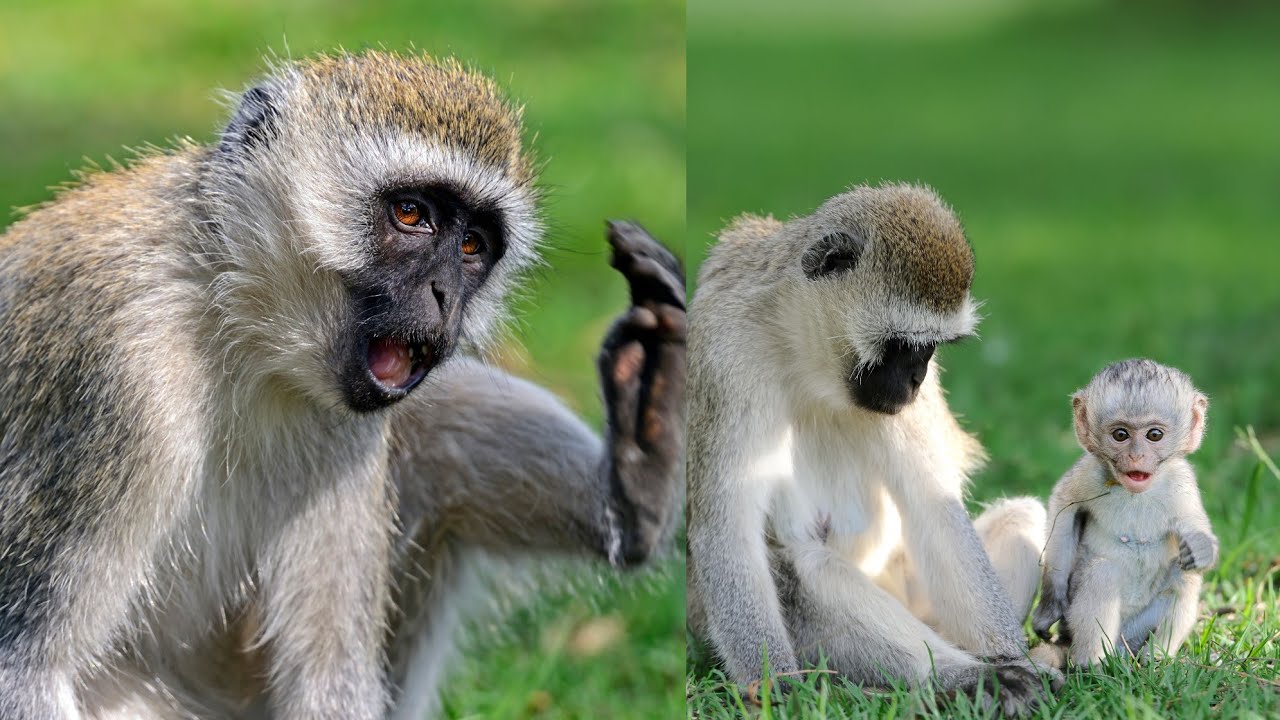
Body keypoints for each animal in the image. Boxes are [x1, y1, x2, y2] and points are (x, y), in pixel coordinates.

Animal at [0, 51, 685, 719]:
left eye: (472, 245)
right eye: (410, 215)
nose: (445, 296)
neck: (234, 322)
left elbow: (328, 680)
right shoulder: (113, 368)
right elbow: (28, 669)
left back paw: (638, 474)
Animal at [686, 183, 1060, 716]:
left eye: (931, 348)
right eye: (902, 345)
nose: (918, 379)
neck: (805, 358)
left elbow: (934, 506)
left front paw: (1015, 659)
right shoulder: (725, 357)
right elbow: (726, 526)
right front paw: (778, 687)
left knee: (1020, 515)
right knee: (808, 566)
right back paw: (960, 679)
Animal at [1030, 359, 1215, 670]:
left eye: (1154, 435)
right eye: (1121, 435)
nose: (1136, 456)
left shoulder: (1181, 481)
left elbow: (1192, 524)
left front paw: (1202, 547)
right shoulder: (1089, 473)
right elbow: (1064, 508)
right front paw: (1050, 605)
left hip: (1136, 631)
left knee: (1184, 577)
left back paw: (1155, 659)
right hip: (1079, 626)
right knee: (1102, 573)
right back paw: (1091, 666)